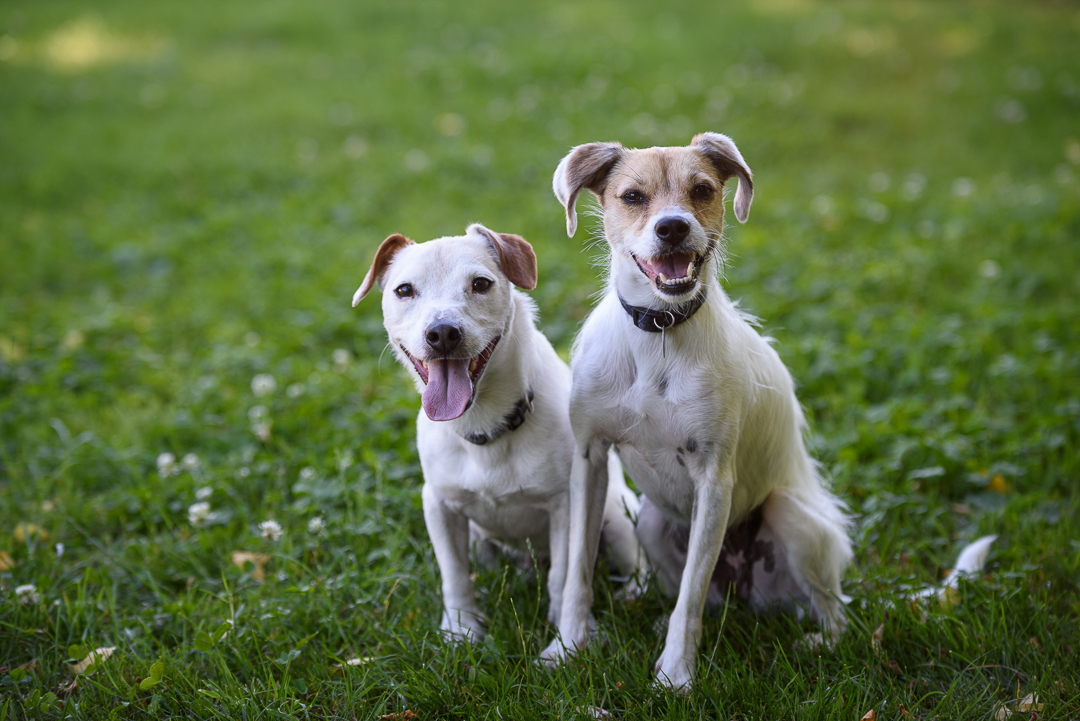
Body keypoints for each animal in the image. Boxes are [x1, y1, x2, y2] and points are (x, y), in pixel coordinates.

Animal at [544, 132, 855, 690]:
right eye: (632, 197)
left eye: (703, 189)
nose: (672, 227)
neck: (660, 332)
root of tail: (742, 591)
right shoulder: (589, 459)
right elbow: (578, 570)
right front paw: (567, 647)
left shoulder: (714, 479)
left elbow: (688, 599)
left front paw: (676, 675)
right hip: (649, 521)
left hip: (789, 515)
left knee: (831, 607)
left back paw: (820, 642)